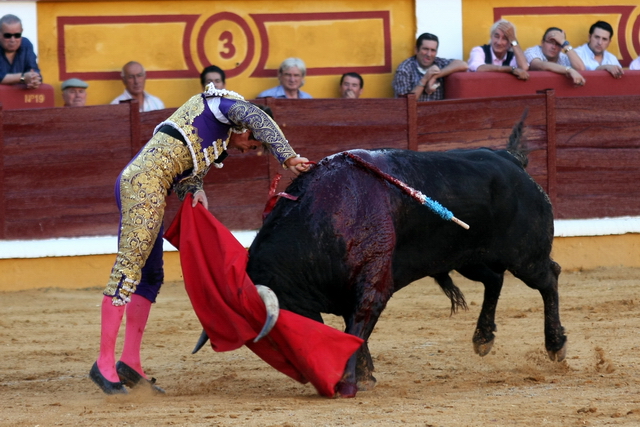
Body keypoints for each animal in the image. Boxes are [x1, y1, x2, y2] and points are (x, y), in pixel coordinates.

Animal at [245, 118, 564, 396]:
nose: (306, 375)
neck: (325, 218)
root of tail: (509, 159)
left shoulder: (373, 286)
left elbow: (357, 327)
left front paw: (348, 382)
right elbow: (354, 331)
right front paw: (365, 376)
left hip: (525, 256)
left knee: (549, 277)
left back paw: (556, 345)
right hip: (467, 258)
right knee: (494, 280)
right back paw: (483, 338)